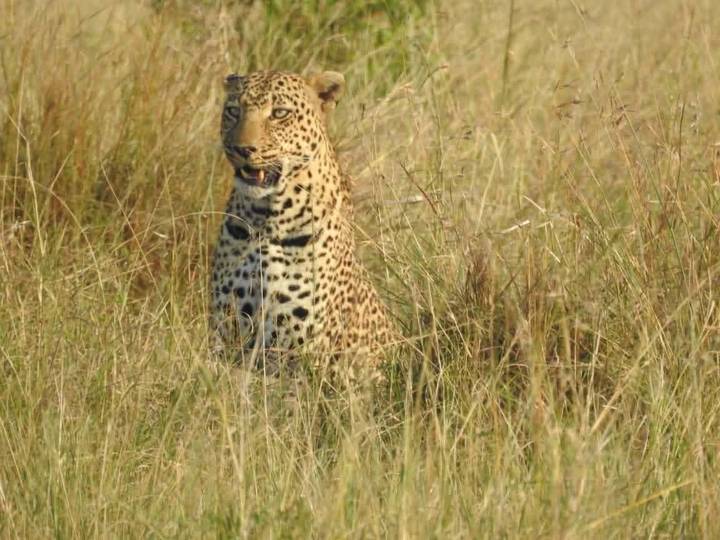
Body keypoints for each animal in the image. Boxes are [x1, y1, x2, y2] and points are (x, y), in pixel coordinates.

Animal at [209, 69, 397, 373]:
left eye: (279, 113)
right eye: (234, 111)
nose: (241, 149)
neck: (266, 217)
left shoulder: (300, 349)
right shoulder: (226, 327)